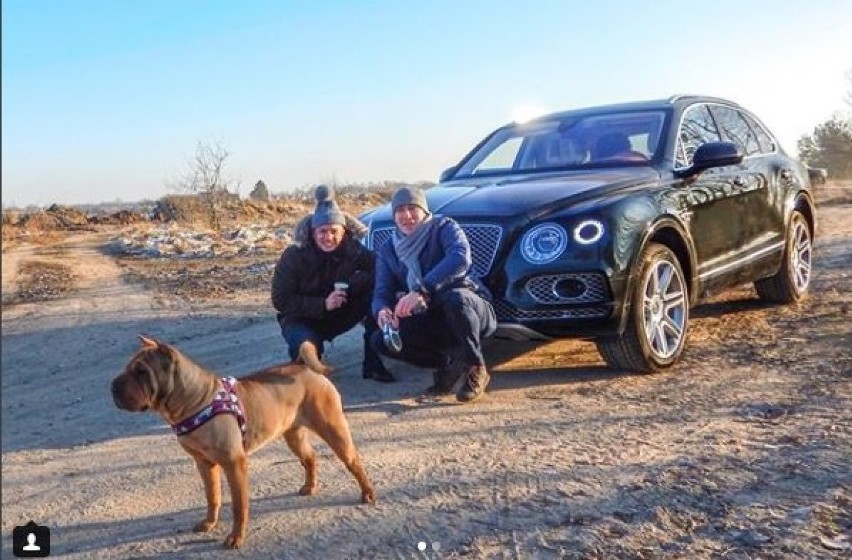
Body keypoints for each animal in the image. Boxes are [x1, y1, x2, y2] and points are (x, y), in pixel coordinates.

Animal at [112, 334, 376, 548]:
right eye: (127, 368)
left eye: (141, 372)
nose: (113, 386)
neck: (195, 400)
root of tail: (305, 367)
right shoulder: (204, 464)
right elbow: (212, 496)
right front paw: (209, 523)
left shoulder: (234, 463)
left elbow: (239, 505)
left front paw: (235, 538)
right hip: (293, 435)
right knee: (309, 457)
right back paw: (309, 487)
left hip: (333, 429)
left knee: (354, 461)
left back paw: (368, 494)